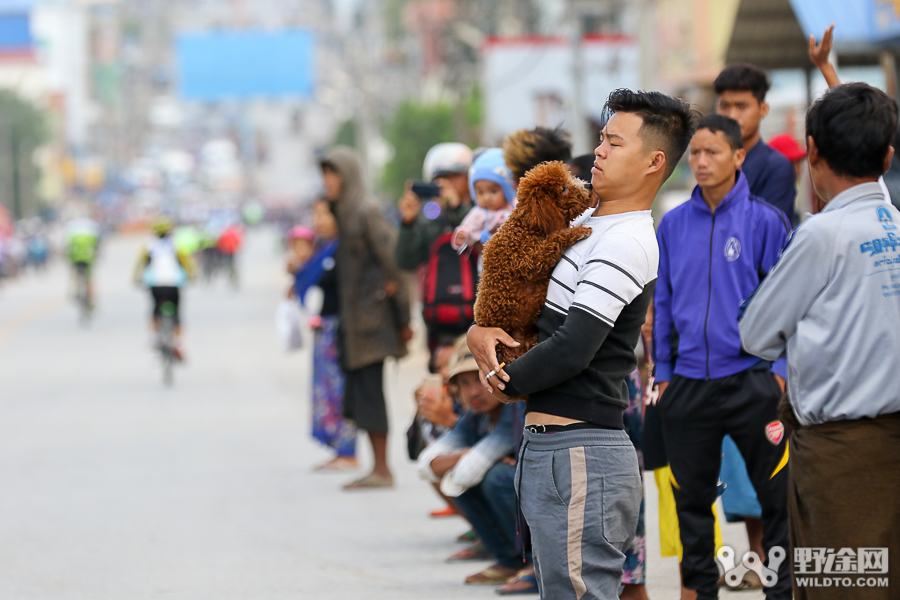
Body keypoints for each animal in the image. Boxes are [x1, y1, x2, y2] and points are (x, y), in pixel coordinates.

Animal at [474, 159, 596, 382]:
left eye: (570, 178)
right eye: (563, 188)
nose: (589, 186)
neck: (528, 227)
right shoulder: (527, 262)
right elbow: (555, 240)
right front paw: (577, 231)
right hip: (503, 343)